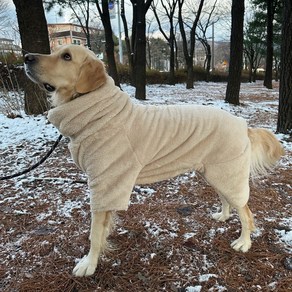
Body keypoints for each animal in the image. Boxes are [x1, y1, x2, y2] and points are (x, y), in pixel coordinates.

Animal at [24, 45, 284, 276]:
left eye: (66, 56)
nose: (26, 57)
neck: (98, 112)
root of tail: (243, 125)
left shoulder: (104, 185)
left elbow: (94, 234)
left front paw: (89, 264)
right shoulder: (107, 187)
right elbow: (102, 229)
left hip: (227, 173)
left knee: (246, 213)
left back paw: (244, 242)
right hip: (216, 172)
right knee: (228, 200)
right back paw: (223, 215)